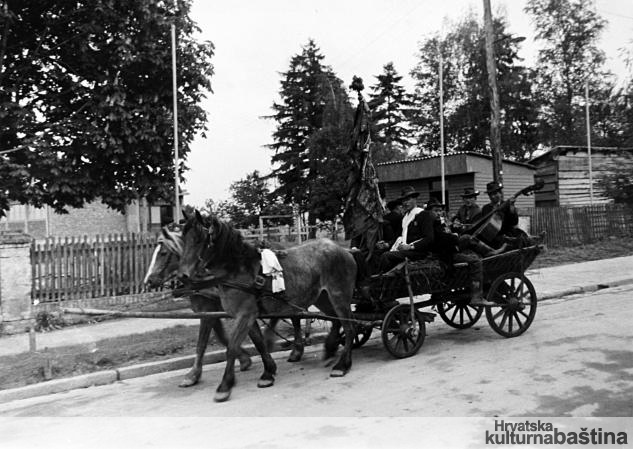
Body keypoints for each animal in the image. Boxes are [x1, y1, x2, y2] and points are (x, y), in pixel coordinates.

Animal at [178, 211, 358, 402]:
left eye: (199, 239)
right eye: (183, 237)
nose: (182, 276)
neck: (238, 270)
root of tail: (344, 250)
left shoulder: (245, 314)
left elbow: (232, 347)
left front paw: (225, 384)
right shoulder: (248, 315)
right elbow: (259, 343)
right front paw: (268, 372)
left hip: (339, 296)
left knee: (349, 327)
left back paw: (342, 365)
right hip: (323, 298)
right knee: (337, 321)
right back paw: (330, 349)